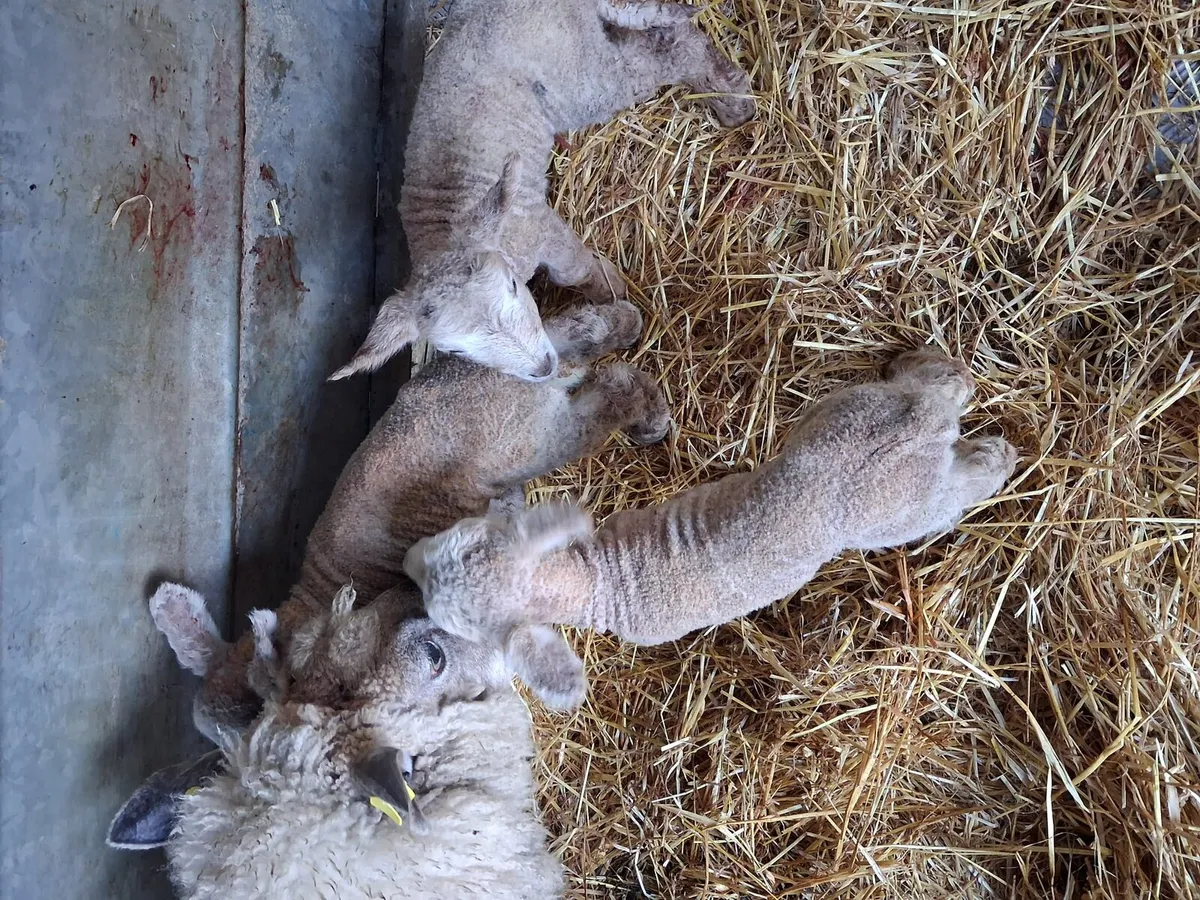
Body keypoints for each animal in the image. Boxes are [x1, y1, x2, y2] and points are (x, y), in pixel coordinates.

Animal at [148, 302, 669, 744]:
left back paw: (652, 418)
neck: (310, 605)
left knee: (608, 396)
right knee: (575, 333)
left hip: (530, 437)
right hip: (513, 384)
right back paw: (626, 323)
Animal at [330, 0, 754, 382]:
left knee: (670, 47)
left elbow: (574, 270)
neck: (443, 232)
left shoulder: (538, 224)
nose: (543, 368)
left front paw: (610, 289)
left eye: (514, 287)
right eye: (456, 351)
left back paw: (733, 100)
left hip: (577, 72)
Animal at [405, 351, 1018, 666]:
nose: (408, 562)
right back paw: (922, 368)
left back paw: (997, 459)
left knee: (948, 495)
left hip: (898, 511)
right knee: (936, 385)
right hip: (853, 411)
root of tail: (923, 429)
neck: (596, 577)